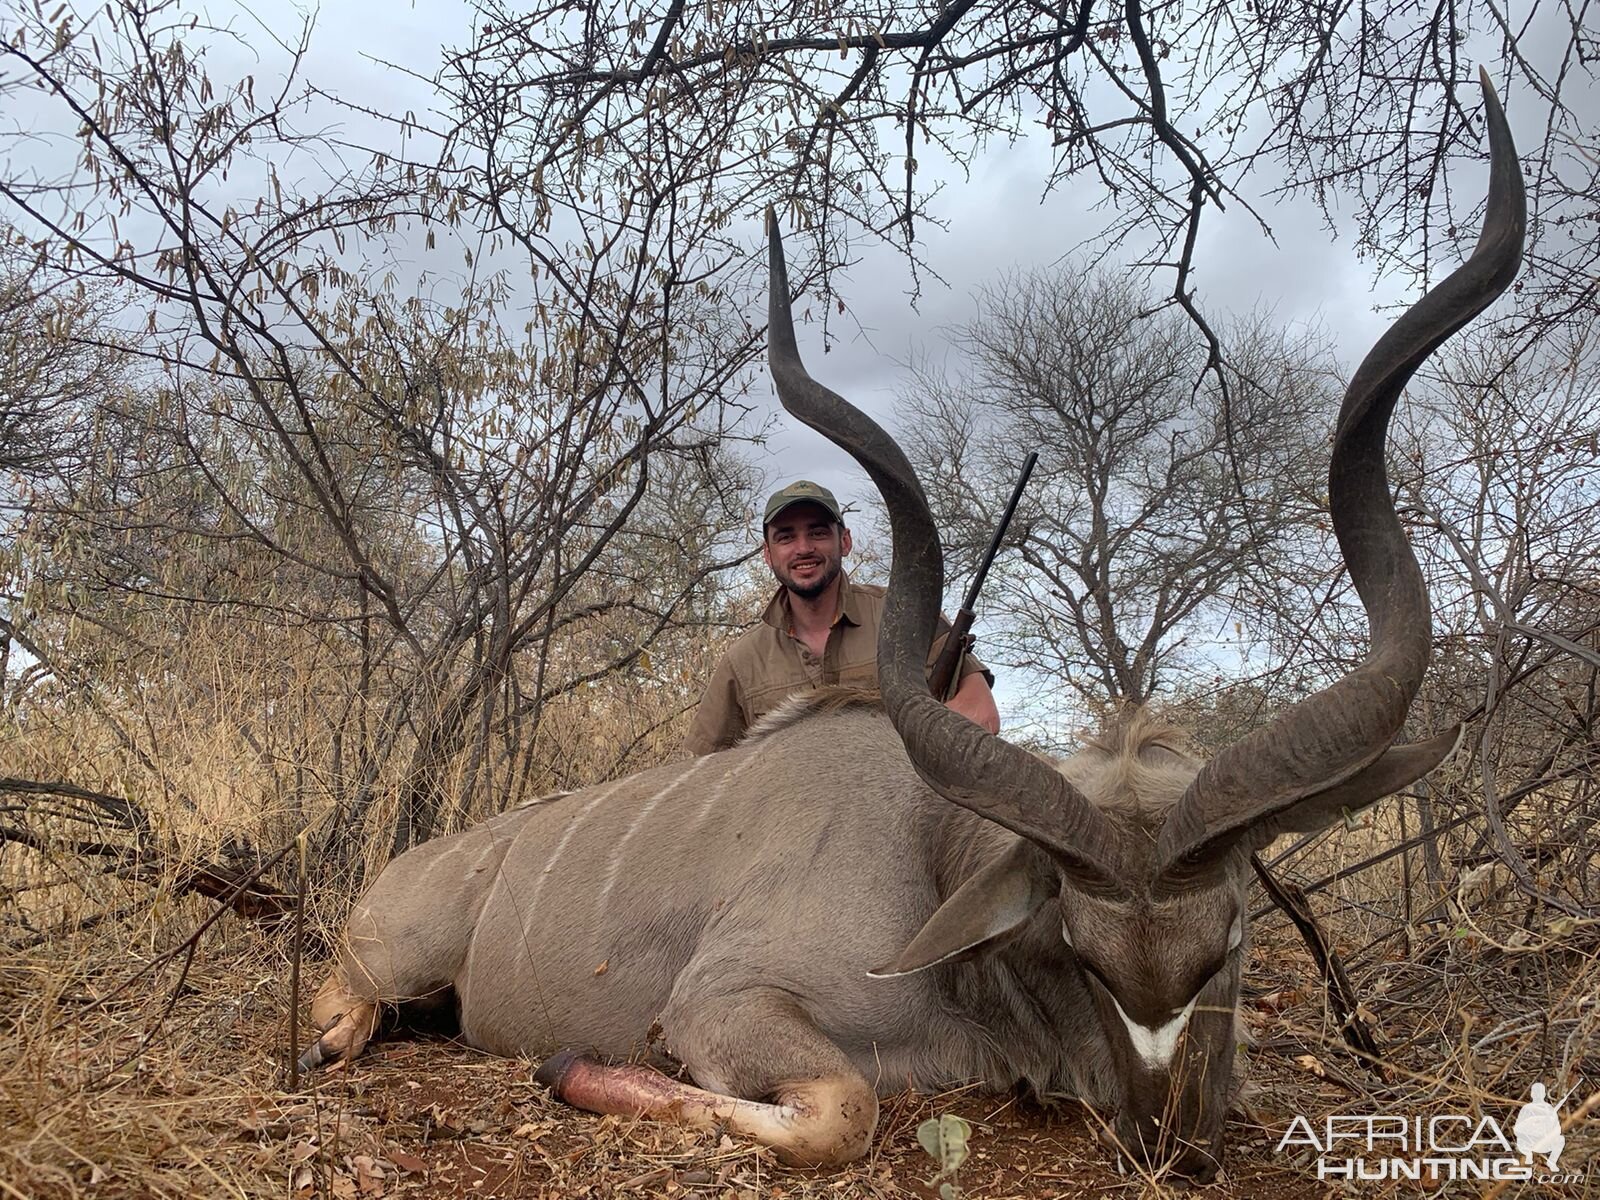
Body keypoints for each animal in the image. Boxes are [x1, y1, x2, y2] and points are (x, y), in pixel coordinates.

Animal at [308, 75, 1523, 1184]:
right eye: (1080, 951)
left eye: (1227, 941)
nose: (1173, 1145)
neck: (933, 871)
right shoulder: (723, 1001)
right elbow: (839, 1111)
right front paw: (573, 1068)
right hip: (393, 959)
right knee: (349, 999)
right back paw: (331, 1036)